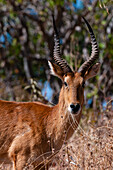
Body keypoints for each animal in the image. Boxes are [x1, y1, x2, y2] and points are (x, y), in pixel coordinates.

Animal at [0, 16, 100, 169]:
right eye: (65, 82)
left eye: (83, 83)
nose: (74, 106)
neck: (47, 123)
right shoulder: (20, 160)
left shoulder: (43, 164)